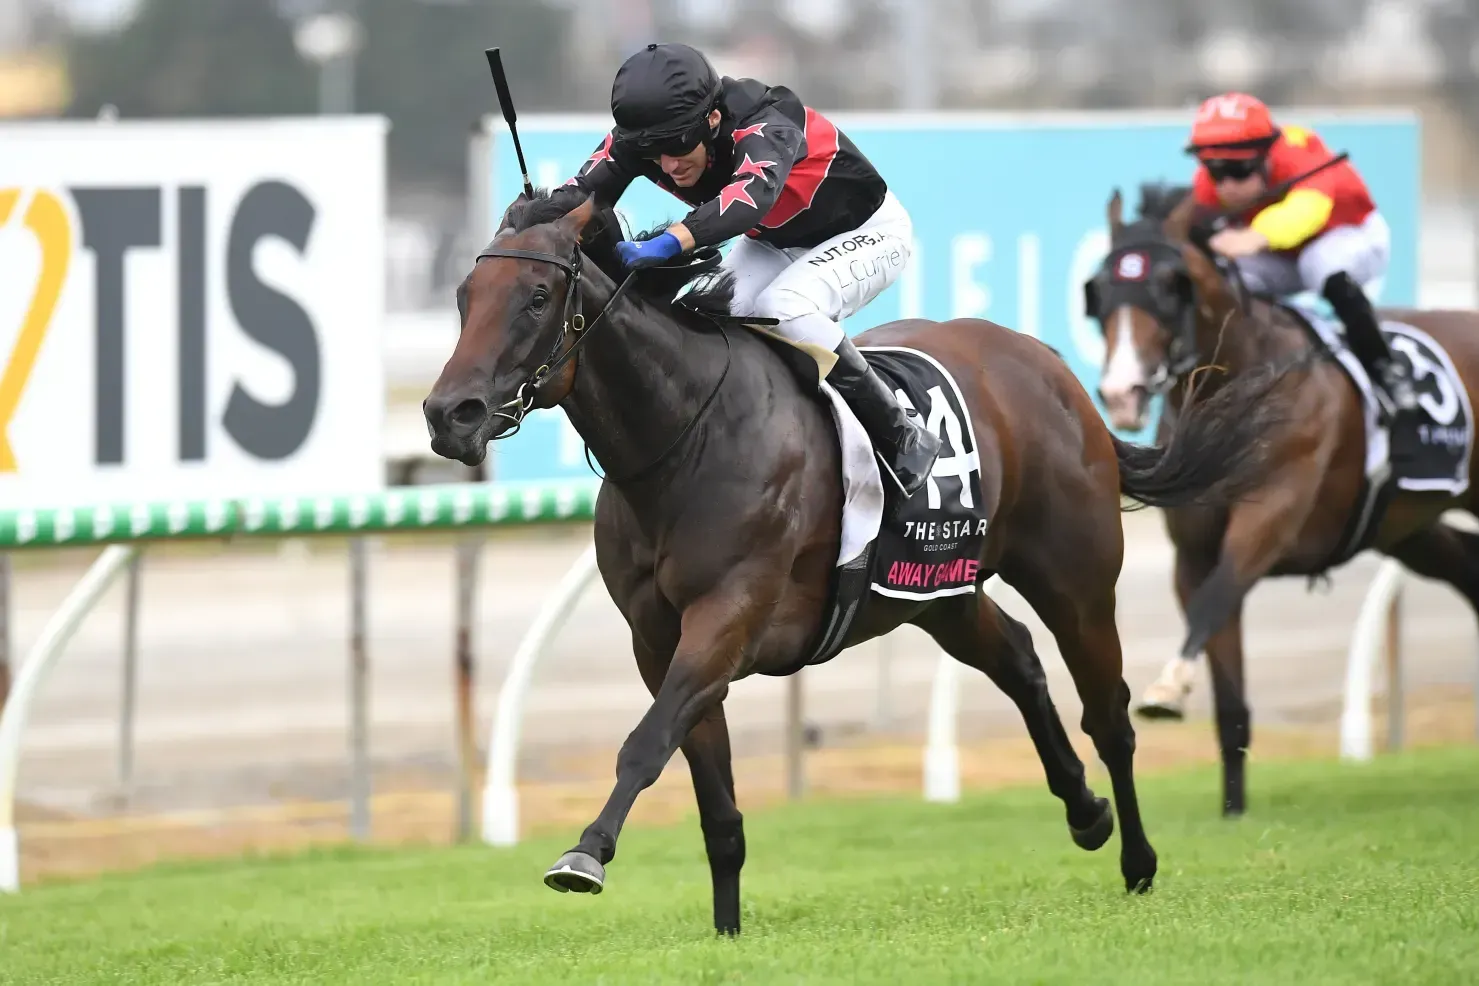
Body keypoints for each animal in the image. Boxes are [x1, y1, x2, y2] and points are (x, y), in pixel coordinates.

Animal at [422, 187, 1288, 934]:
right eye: (465, 297)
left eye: (537, 298)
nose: (447, 413)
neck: (687, 435)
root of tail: (1045, 362)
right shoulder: (656, 637)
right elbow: (711, 794)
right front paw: (726, 930)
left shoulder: (727, 616)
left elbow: (646, 740)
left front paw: (585, 854)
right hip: (935, 591)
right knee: (1015, 658)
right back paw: (1084, 810)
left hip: (1072, 578)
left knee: (1107, 713)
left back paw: (1137, 860)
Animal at [1085, 182, 1479, 817]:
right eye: (1098, 291)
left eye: (1169, 287)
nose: (1122, 392)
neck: (1242, 386)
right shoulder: (1192, 554)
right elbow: (1228, 692)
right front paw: (1232, 812)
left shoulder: (1268, 521)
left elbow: (1215, 598)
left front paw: (1167, 687)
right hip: (1410, 529)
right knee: (1469, 568)